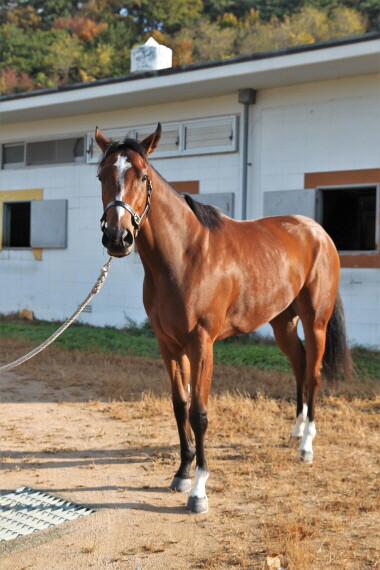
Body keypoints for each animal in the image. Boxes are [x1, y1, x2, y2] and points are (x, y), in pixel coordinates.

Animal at [95, 122, 350, 512]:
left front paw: (199, 490)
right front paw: (182, 473)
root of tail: (318, 232)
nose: (117, 237)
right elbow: (180, 405)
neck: (184, 256)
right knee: (300, 365)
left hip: (315, 321)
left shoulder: (202, 345)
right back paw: (295, 432)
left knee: (314, 374)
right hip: (283, 322)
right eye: (101, 176)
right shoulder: (168, 345)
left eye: (142, 176)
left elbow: (199, 413)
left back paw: (306, 445)